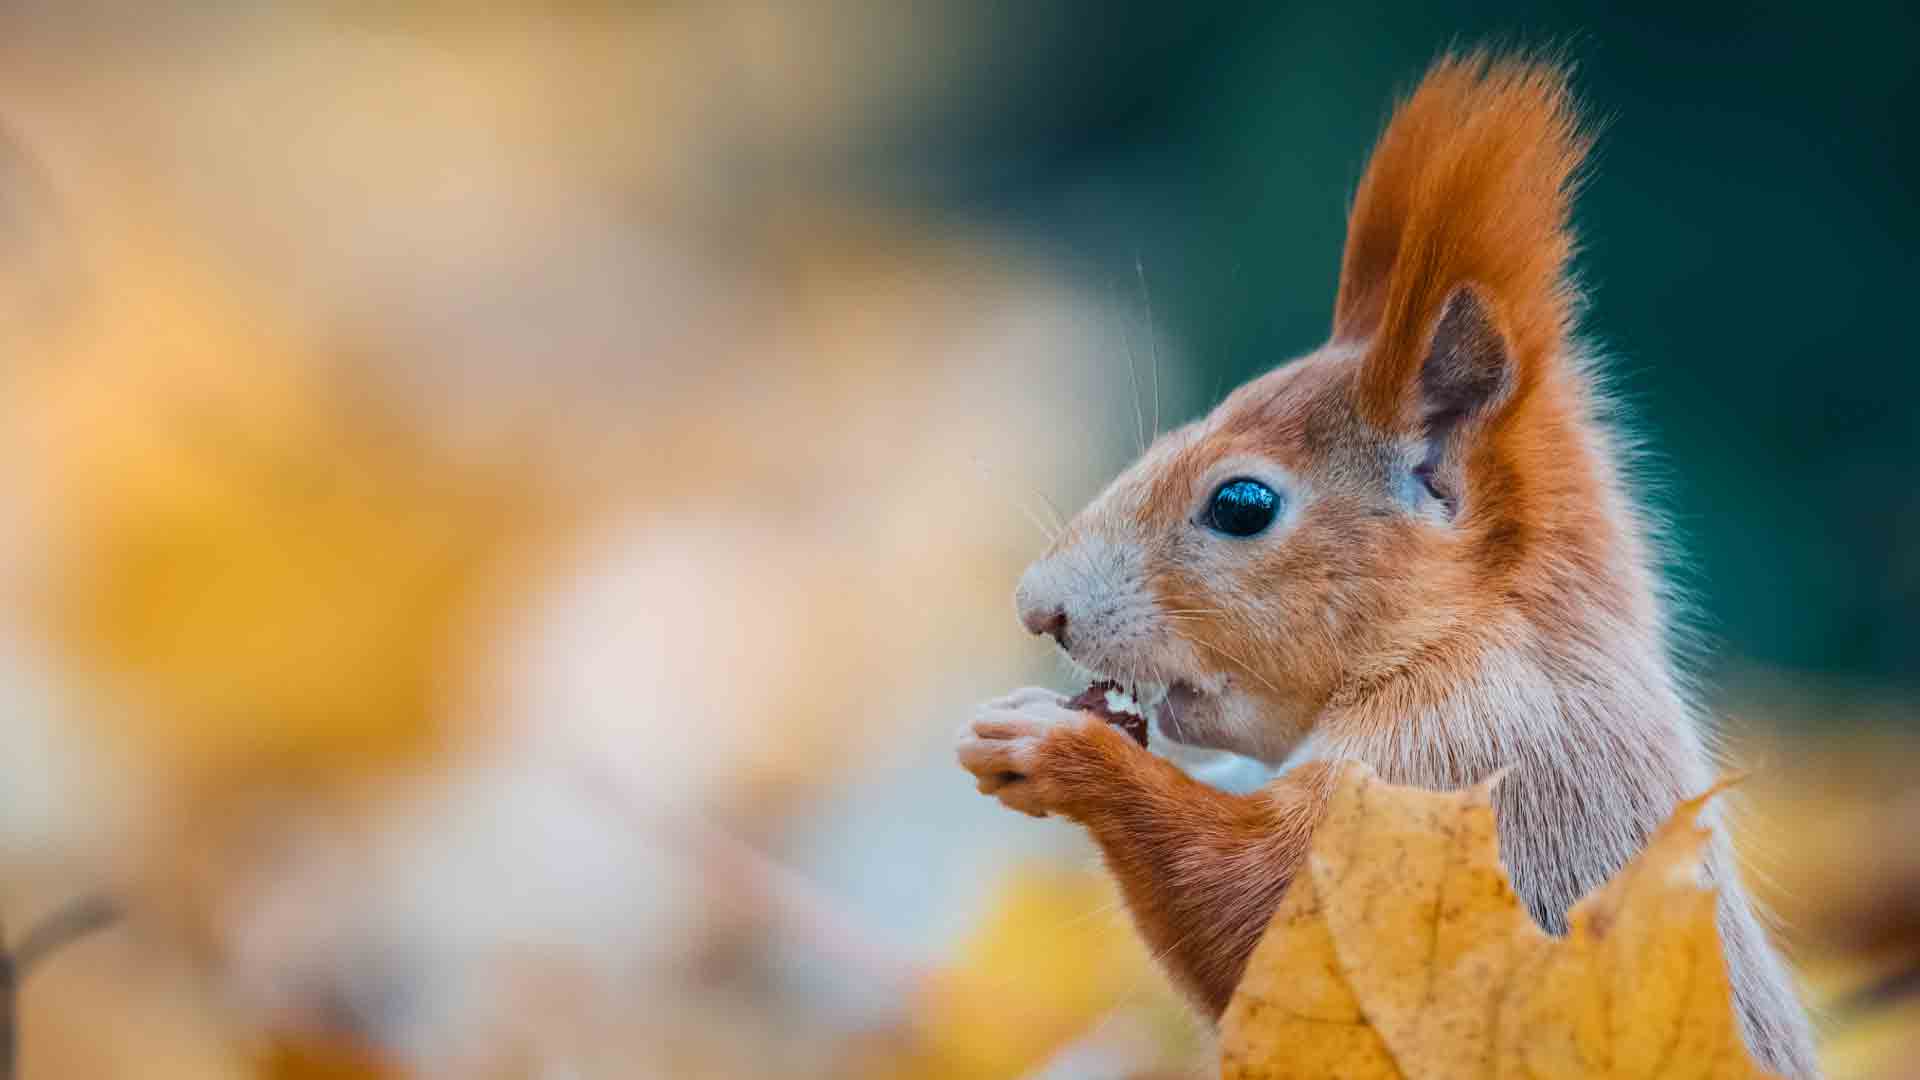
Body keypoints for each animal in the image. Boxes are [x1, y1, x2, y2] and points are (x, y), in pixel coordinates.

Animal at [956, 54, 1812, 1068]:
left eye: (1241, 506)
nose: (1038, 609)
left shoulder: (1470, 774)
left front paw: (1056, 748)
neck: (1467, 634)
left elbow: (1259, 910)